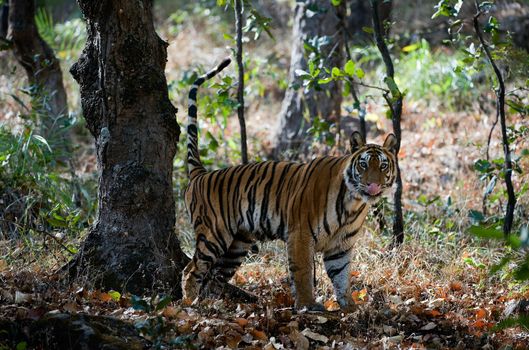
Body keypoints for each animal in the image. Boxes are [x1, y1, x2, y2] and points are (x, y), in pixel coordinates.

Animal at [182, 58, 396, 312]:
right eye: (363, 165)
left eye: (382, 166)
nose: (372, 185)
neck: (353, 204)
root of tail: (201, 174)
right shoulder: (300, 234)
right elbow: (303, 272)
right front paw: (307, 305)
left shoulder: (341, 246)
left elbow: (342, 276)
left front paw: (349, 307)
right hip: (213, 234)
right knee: (191, 269)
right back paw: (189, 304)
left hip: (236, 246)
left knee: (214, 276)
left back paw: (211, 305)